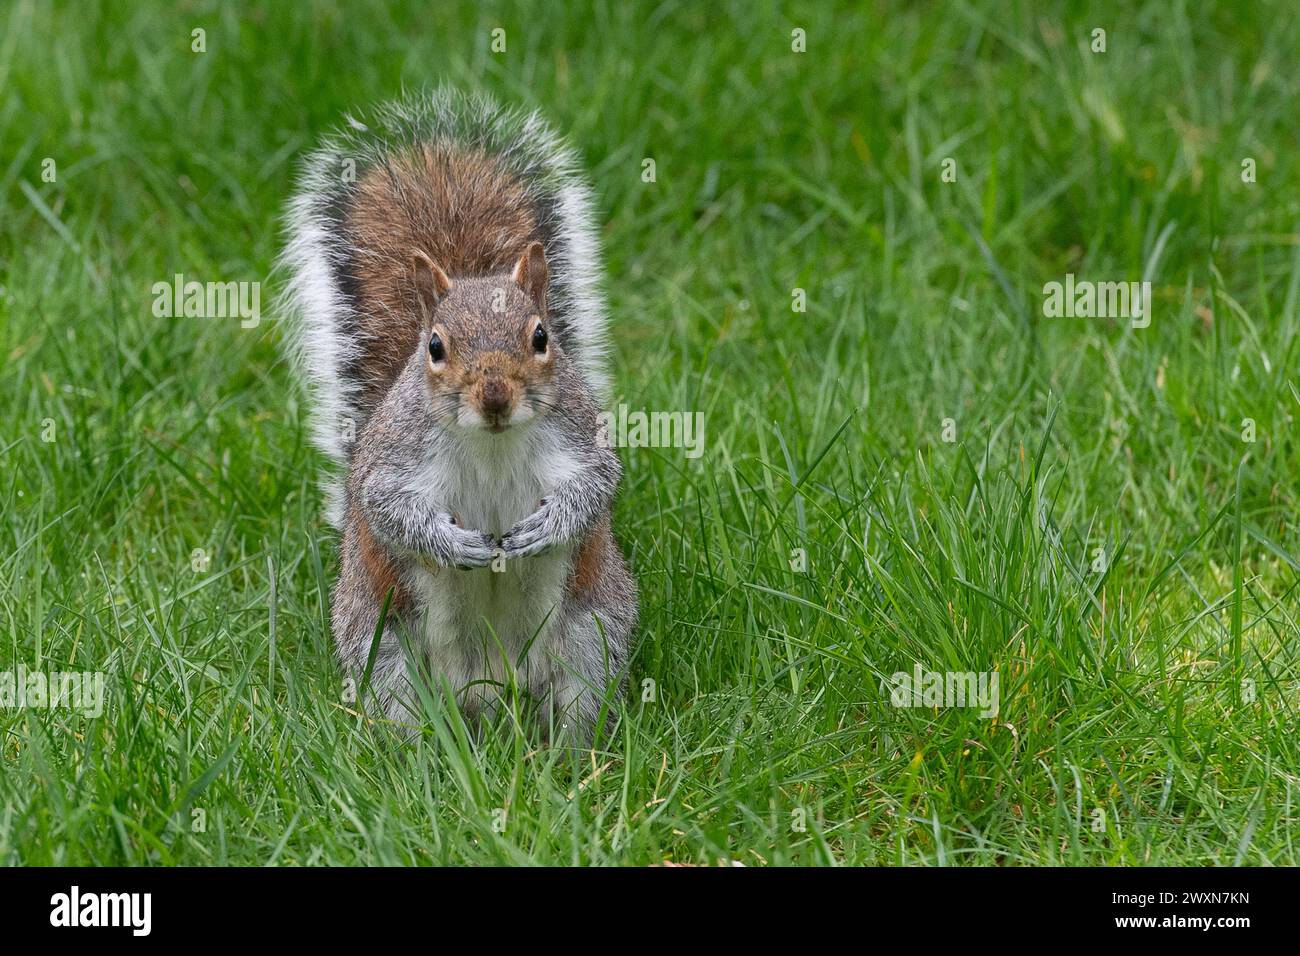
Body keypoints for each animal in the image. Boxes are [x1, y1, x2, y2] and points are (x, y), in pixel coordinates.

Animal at [278, 89, 634, 743]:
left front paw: (546, 525)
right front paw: (452, 543)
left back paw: (573, 754)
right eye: (435, 346)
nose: (494, 396)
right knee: (401, 708)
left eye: (541, 336)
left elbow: (596, 485)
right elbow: (386, 505)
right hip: (384, 644)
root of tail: (490, 687)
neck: (490, 441)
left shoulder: (580, 434)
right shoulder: (392, 456)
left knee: (577, 702)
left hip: (592, 631)